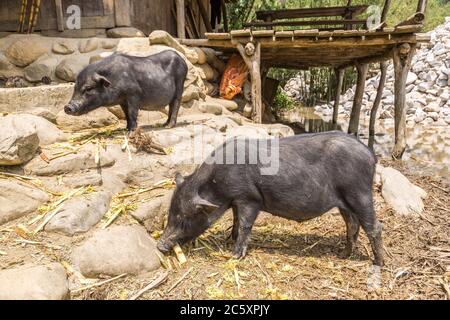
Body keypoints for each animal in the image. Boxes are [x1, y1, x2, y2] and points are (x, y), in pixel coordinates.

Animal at [157, 131, 384, 266]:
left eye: (184, 218)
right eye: (170, 212)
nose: (160, 246)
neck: (216, 182)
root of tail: (371, 155)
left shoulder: (250, 199)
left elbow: (245, 224)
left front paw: (234, 256)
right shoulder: (236, 200)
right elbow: (235, 219)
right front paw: (228, 239)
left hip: (360, 193)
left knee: (374, 226)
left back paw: (378, 263)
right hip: (345, 202)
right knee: (352, 224)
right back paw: (343, 255)